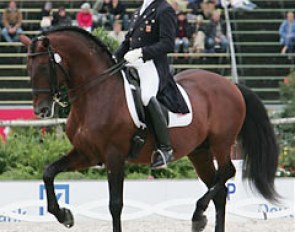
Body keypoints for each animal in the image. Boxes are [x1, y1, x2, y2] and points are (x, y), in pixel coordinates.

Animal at [22, 26, 278, 231]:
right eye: (27, 67)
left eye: (44, 67)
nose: (41, 110)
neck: (96, 94)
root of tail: (230, 84)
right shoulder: (87, 154)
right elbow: (49, 172)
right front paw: (64, 215)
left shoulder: (114, 156)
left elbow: (115, 205)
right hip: (200, 152)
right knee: (221, 191)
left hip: (221, 143)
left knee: (228, 173)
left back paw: (197, 215)